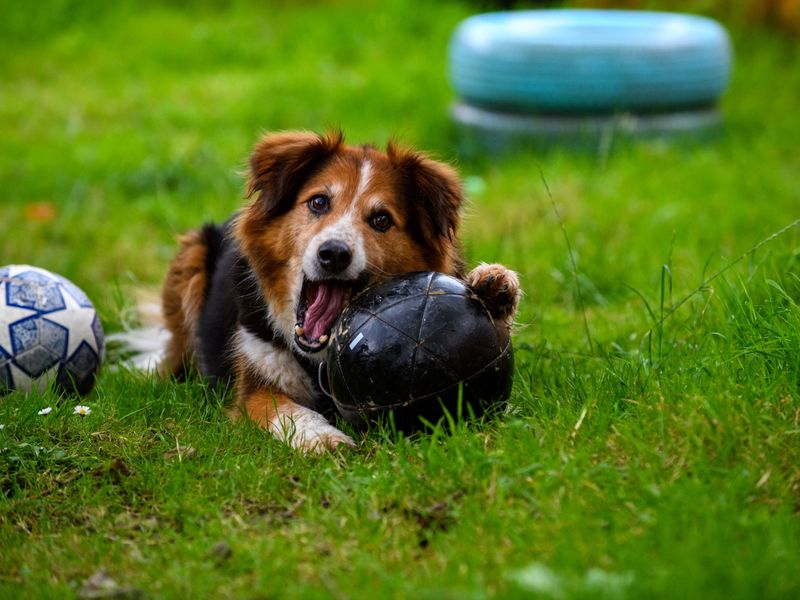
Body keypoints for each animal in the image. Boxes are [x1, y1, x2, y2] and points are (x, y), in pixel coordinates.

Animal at [155, 130, 520, 450]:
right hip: (193, 254)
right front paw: (323, 438)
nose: (333, 254)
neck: (317, 359)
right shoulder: (254, 388)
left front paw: (494, 284)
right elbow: (287, 411)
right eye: (318, 202)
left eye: (381, 220)